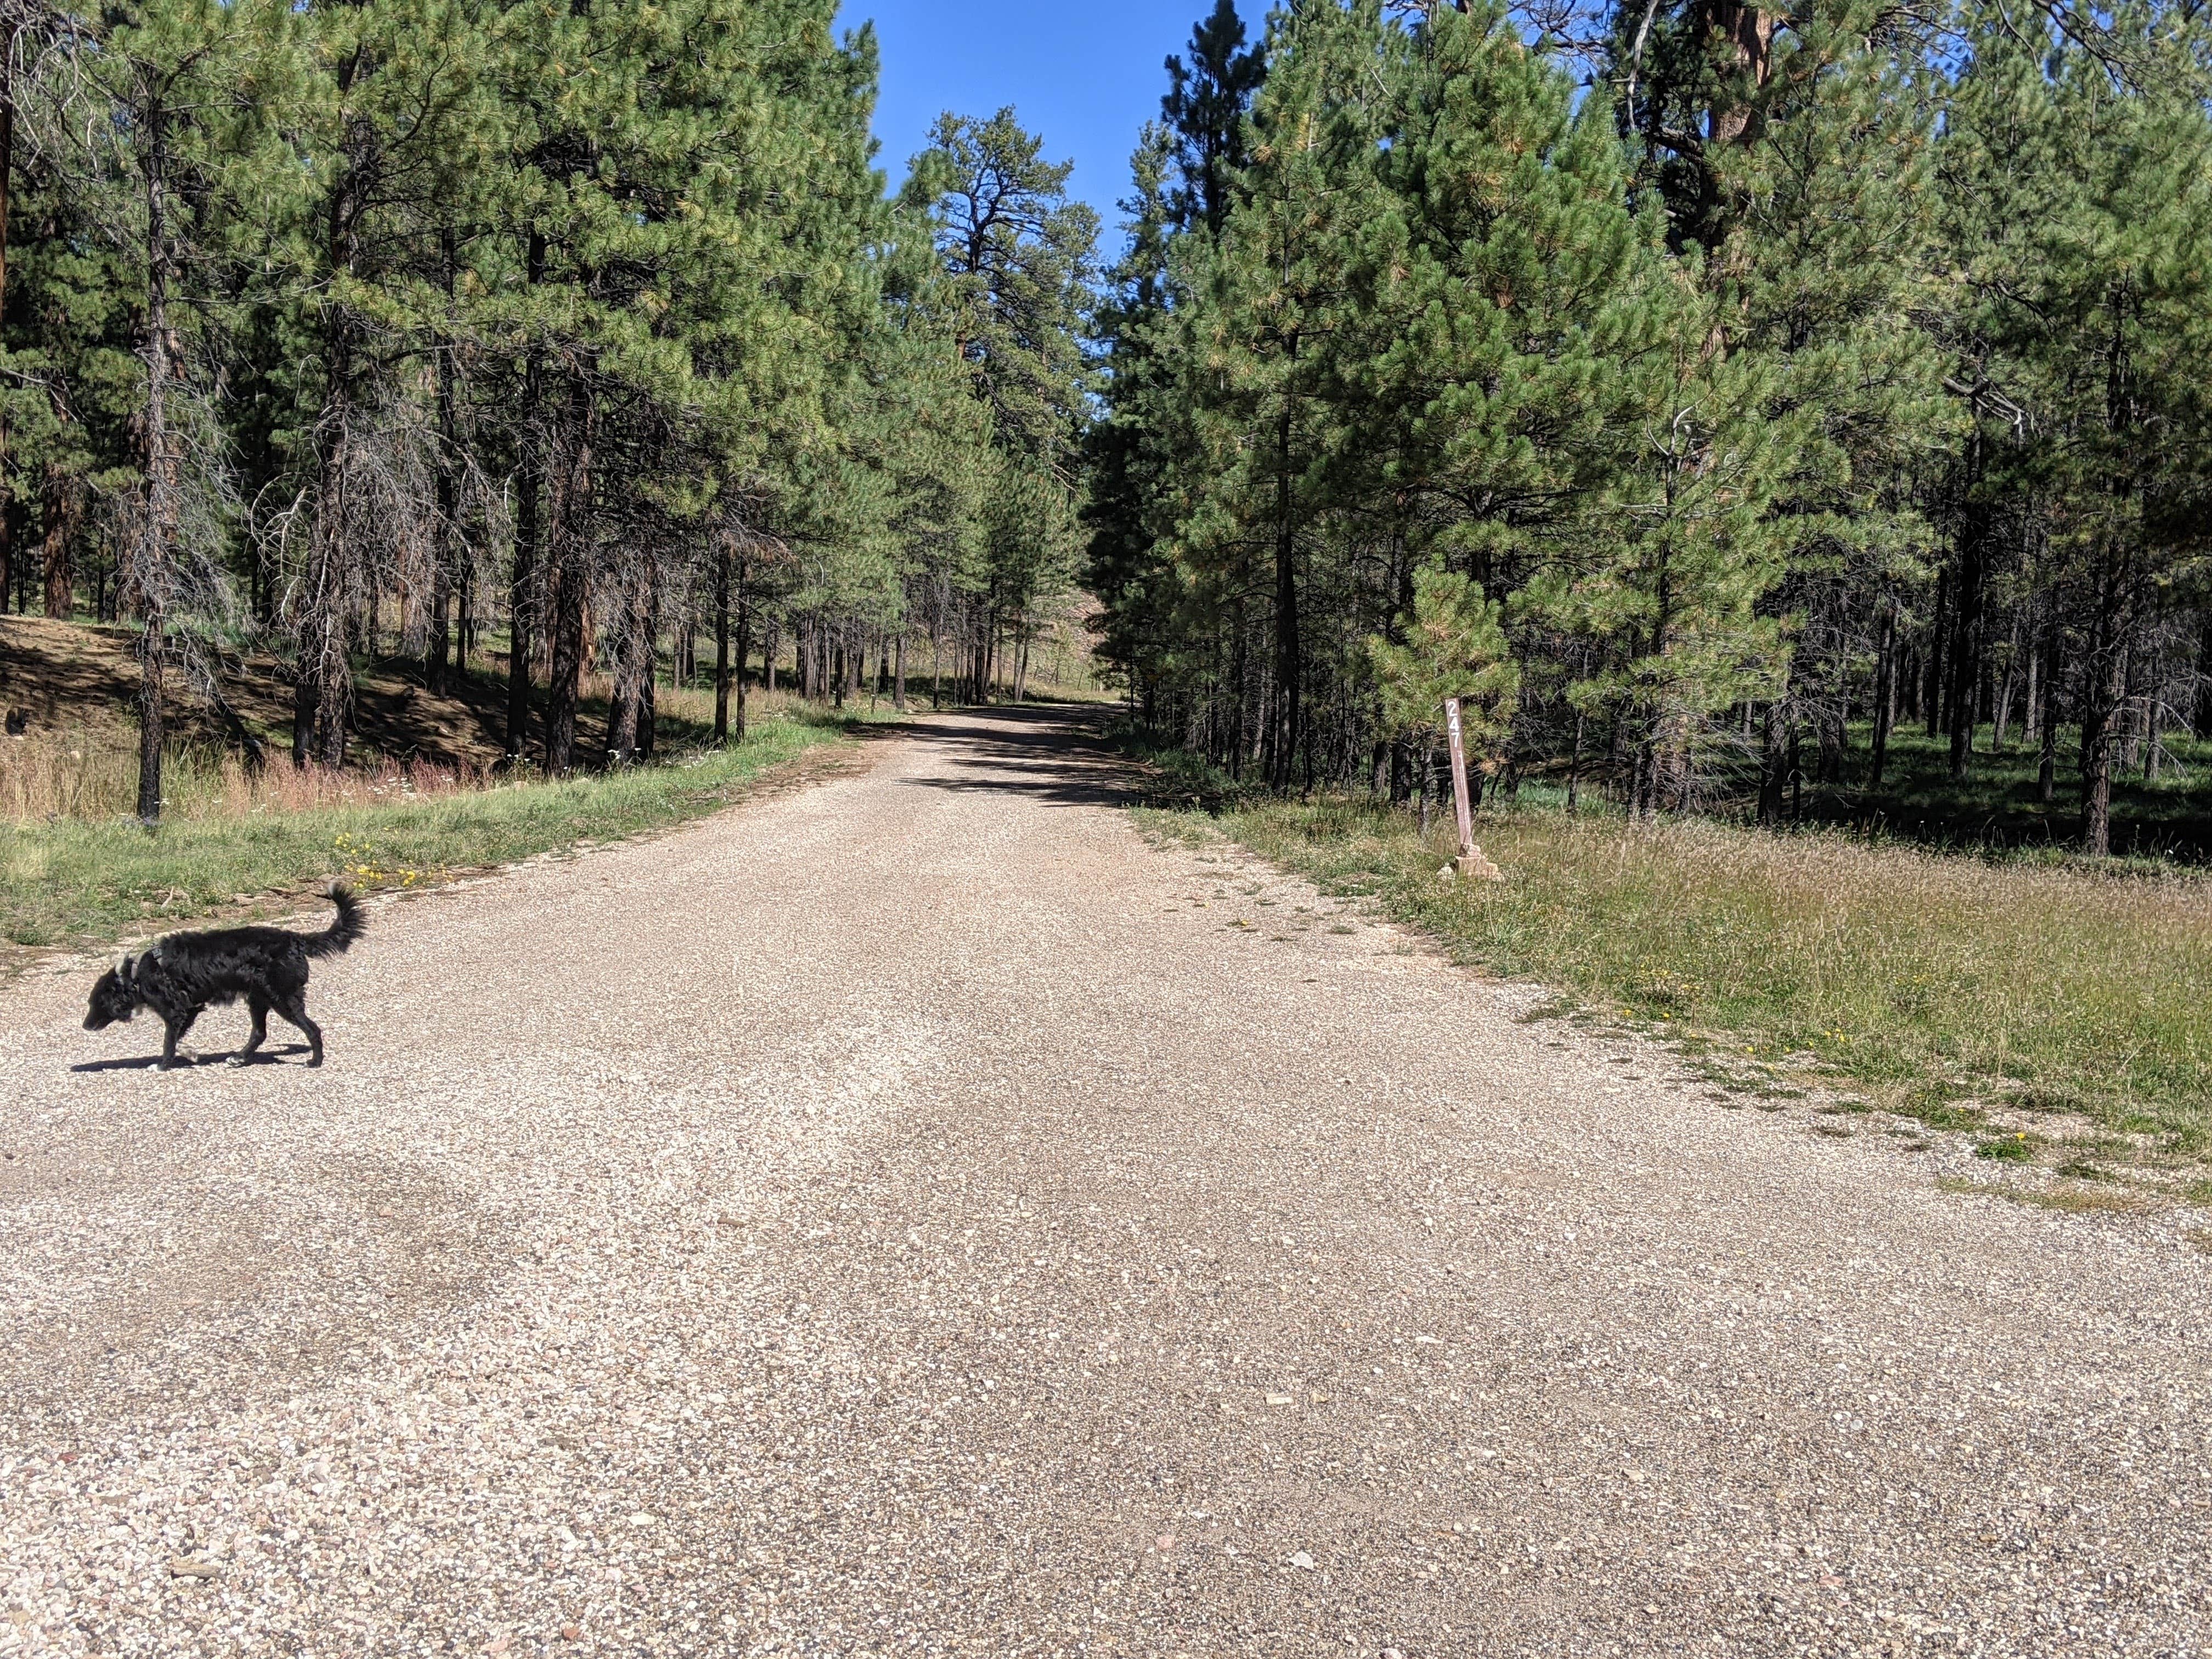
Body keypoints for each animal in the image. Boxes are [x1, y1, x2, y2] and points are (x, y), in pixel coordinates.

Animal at [83, 889, 371, 1070]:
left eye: (96, 1003)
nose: (85, 1026)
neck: (138, 974)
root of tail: (295, 939)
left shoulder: (178, 1011)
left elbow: (169, 1042)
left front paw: (163, 1065)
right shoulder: (190, 1009)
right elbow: (177, 1040)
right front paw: (188, 1053)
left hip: (283, 999)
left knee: (312, 1030)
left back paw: (315, 1062)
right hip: (258, 999)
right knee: (260, 1033)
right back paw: (239, 1058)